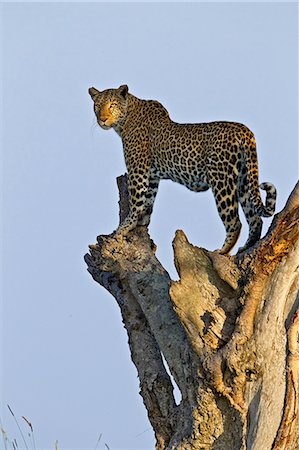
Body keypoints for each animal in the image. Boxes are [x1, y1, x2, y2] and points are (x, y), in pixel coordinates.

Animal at [88, 83, 276, 253]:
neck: (125, 119)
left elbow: (136, 201)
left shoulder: (138, 170)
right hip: (244, 179)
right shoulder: (152, 176)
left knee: (235, 221)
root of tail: (244, 130)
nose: (102, 119)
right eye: (97, 106)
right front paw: (142, 223)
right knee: (255, 218)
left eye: (112, 105)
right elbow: (148, 201)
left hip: (221, 179)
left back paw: (222, 251)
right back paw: (247, 246)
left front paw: (123, 228)